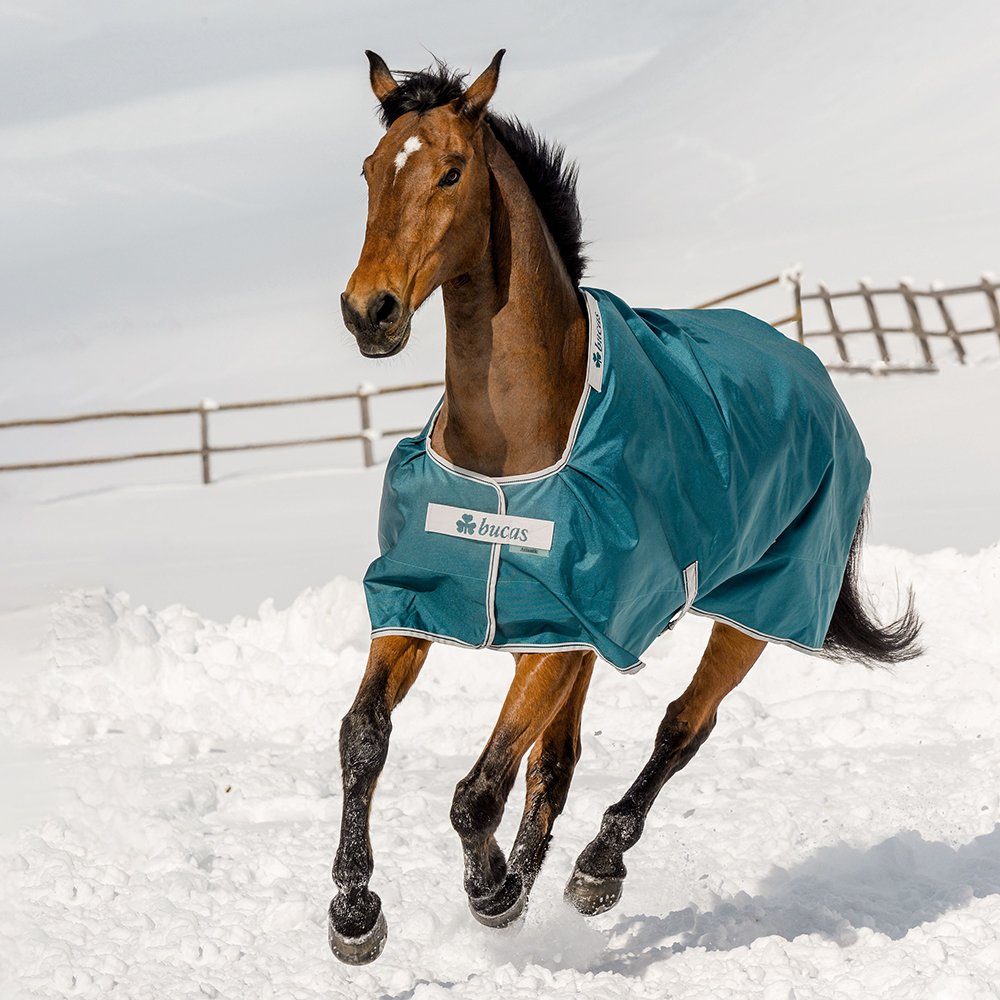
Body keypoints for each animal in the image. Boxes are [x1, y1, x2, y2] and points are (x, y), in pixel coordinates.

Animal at [329, 50, 922, 965]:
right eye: (369, 171)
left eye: (452, 171)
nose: (371, 312)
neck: (513, 452)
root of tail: (810, 368)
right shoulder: (427, 608)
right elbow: (366, 738)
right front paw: (356, 912)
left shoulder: (567, 632)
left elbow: (477, 791)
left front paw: (490, 892)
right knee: (561, 760)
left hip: (757, 610)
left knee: (682, 726)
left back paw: (596, 869)